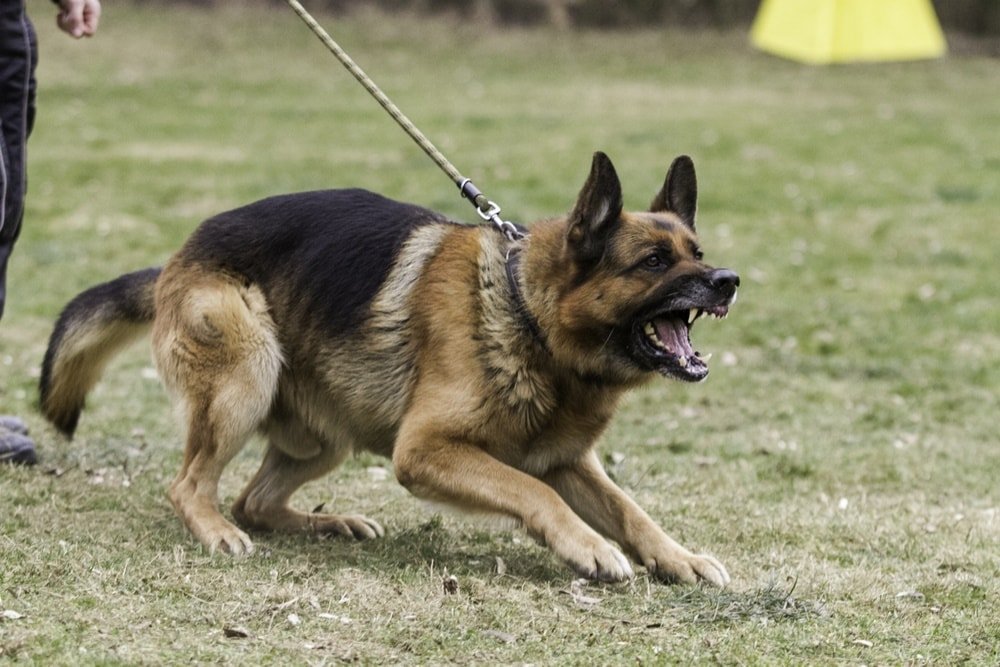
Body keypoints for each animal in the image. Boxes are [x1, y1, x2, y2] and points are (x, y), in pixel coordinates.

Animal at [39, 154, 740, 588]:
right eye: (653, 262)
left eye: (697, 252)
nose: (730, 281)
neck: (526, 314)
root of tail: (174, 260)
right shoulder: (425, 450)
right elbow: (532, 492)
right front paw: (591, 547)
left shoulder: (569, 460)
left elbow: (630, 510)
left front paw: (677, 559)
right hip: (248, 375)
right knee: (190, 486)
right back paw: (217, 532)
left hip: (326, 433)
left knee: (254, 499)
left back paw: (329, 524)